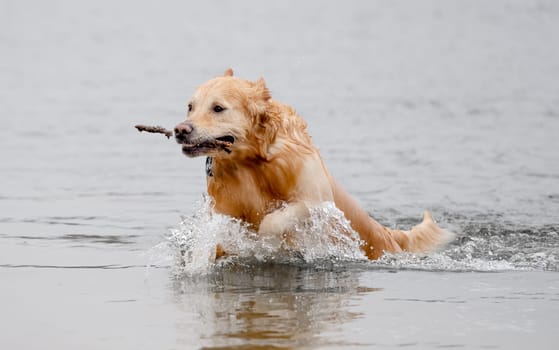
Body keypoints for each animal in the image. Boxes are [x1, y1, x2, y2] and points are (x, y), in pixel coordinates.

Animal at [173, 69, 452, 260]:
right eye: (190, 106)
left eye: (218, 108)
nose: (180, 130)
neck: (252, 161)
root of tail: (390, 235)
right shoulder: (223, 207)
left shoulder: (316, 199)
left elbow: (276, 220)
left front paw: (263, 239)